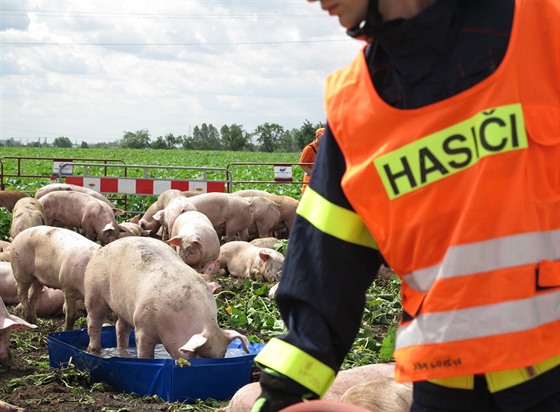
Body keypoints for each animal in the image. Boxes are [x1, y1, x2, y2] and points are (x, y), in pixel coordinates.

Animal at [83, 237, 249, 358]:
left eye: (223, 354)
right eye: (199, 354)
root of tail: (104, 247)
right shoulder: (142, 326)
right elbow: (144, 351)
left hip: (125, 307)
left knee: (120, 328)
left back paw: (122, 351)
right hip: (94, 293)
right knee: (93, 322)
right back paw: (94, 350)